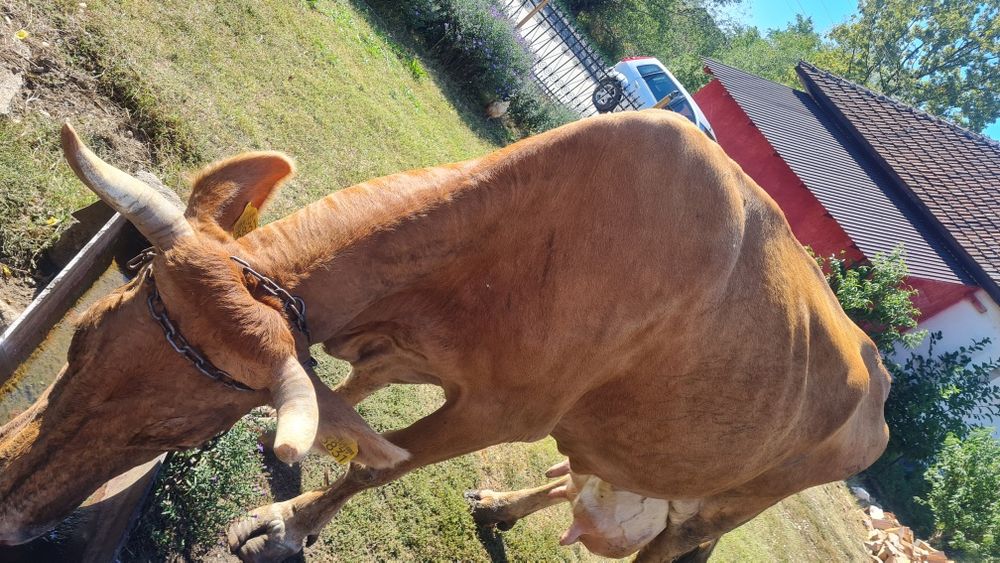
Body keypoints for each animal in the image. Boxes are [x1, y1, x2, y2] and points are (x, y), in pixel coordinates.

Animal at [0, 110, 890, 561]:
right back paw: (501, 505)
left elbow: (379, 464)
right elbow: (349, 398)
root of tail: (876, 372)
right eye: (80, 339)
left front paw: (283, 525)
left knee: (668, 547)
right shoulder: (400, 345)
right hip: (619, 445)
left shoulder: (499, 412)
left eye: (174, 430)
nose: (6, 505)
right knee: (573, 475)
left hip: (721, 509)